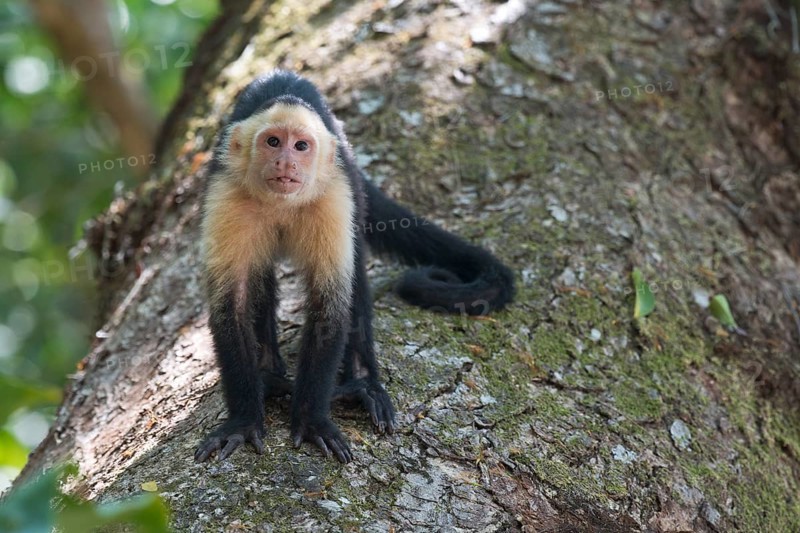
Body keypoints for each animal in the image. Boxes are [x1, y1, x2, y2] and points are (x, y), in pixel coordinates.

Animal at [194, 70, 515, 464]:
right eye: (273, 142)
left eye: (300, 146)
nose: (286, 163)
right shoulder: (226, 194)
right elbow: (233, 304)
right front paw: (243, 419)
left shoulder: (333, 195)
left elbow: (330, 306)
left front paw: (312, 420)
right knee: (260, 276)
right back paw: (268, 373)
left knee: (356, 272)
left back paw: (362, 383)